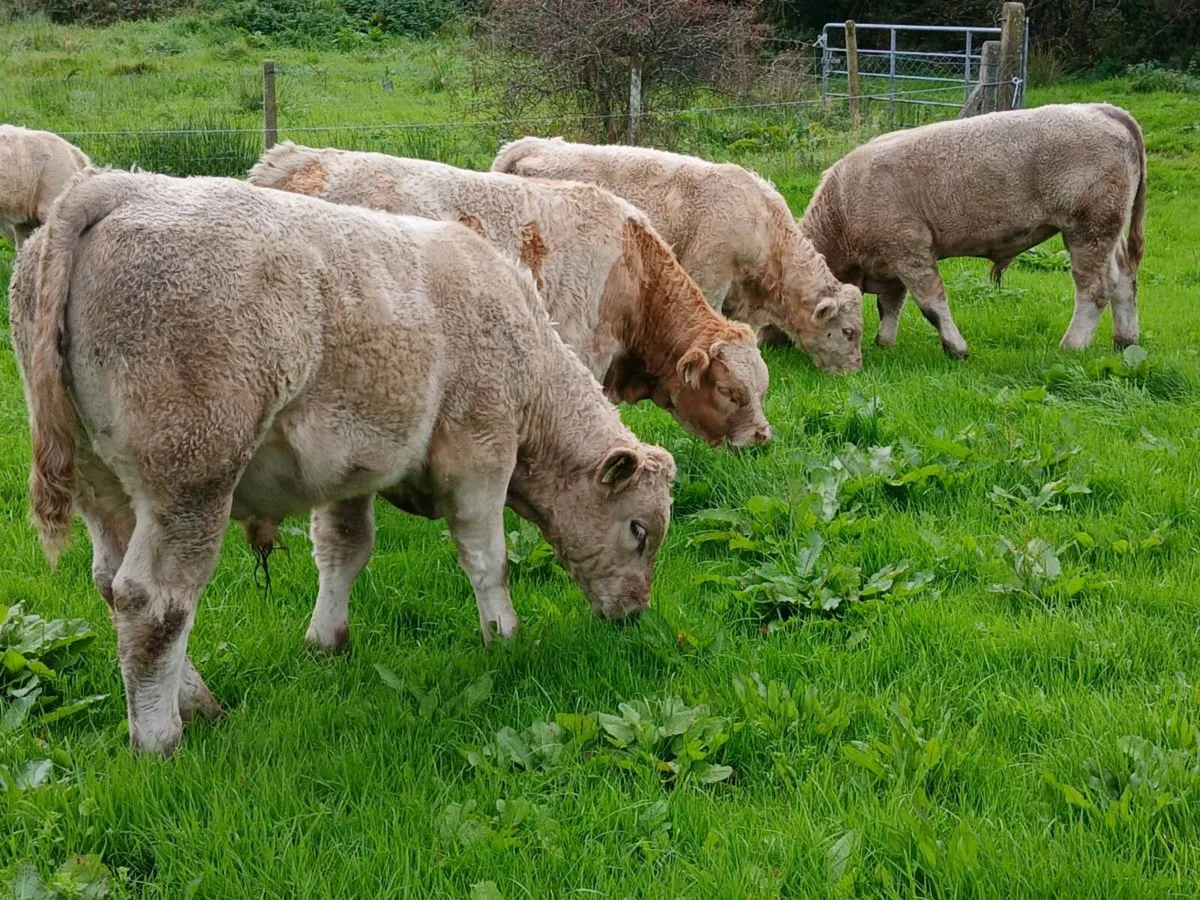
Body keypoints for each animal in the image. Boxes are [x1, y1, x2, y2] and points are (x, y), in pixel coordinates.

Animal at [9, 168, 677, 756]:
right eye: (639, 531)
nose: (635, 614)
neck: (531, 357)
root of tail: (114, 186)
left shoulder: (351, 468)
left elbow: (343, 550)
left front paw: (326, 641)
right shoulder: (480, 454)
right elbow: (489, 560)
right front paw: (505, 638)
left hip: (102, 485)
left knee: (110, 583)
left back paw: (196, 702)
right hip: (191, 477)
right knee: (154, 601)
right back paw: (159, 738)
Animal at [248, 143, 771, 449]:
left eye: (763, 388)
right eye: (730, 392)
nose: (763, 438)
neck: (631, 270)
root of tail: (294, 158)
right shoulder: (581, 351)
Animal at [799, 103, 1148, 357]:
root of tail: (1101, 109)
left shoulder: (910, 249)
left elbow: (931, 305)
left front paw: (956, 348)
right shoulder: (890, 263)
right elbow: (889, 305)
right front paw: (884, 343)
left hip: (1090, 227)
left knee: (1095, 287)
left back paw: (1072, 346)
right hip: (1110, 229)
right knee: (1124, 279)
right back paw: (1125, 341)